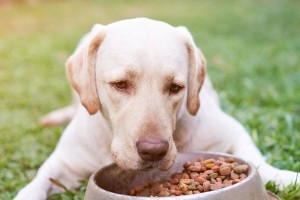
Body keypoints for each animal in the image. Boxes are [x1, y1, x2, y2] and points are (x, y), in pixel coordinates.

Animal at [14, 18, 300, 199]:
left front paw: (283, 176)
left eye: (176, 87)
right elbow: (39, 180)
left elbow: (256, 159)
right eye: (120, 84)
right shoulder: (65, 162)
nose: (153, 151)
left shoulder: (230, 131)